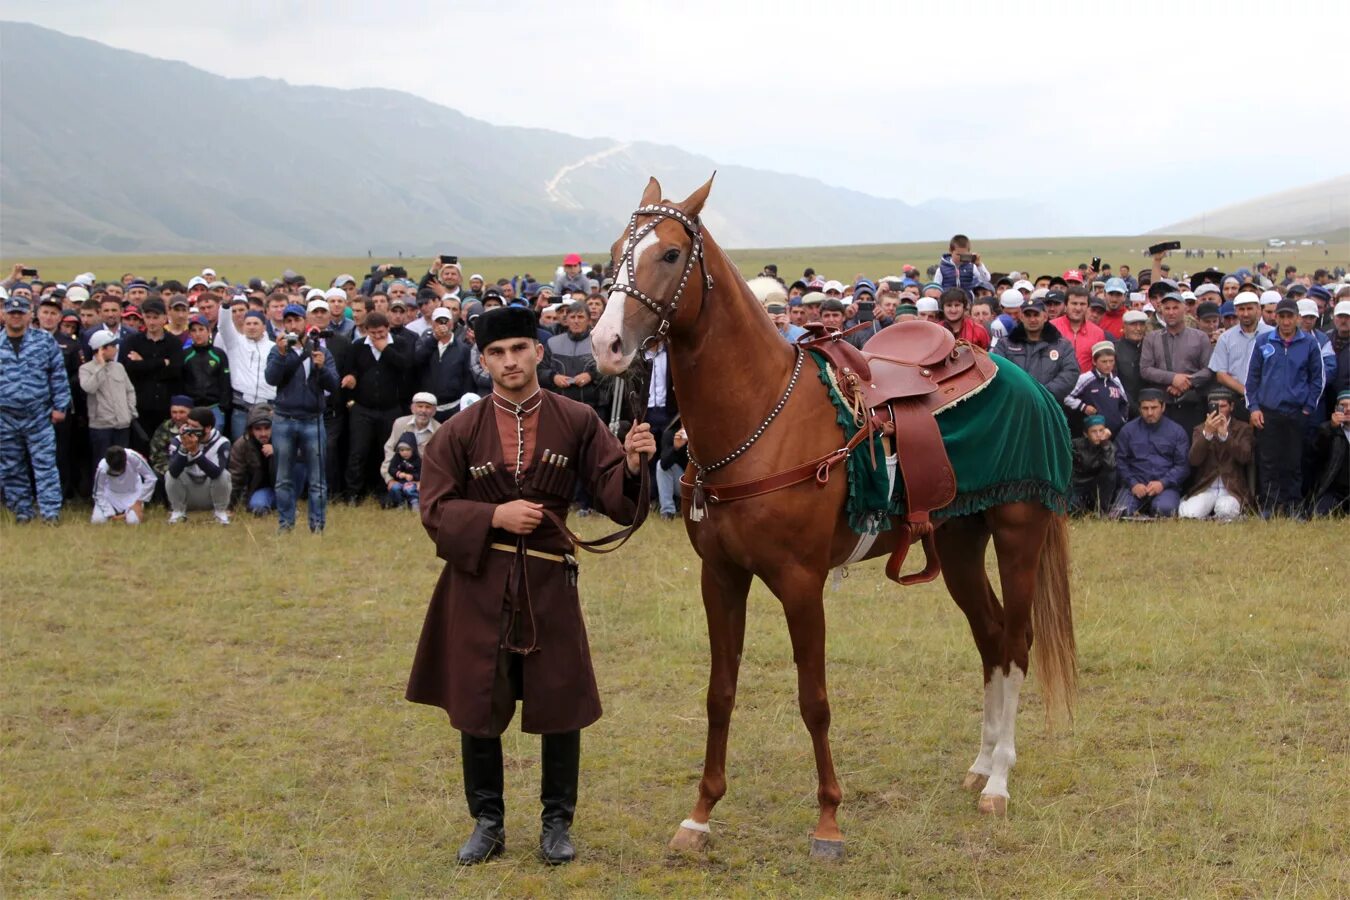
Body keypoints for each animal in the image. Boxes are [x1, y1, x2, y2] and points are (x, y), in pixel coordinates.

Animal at [594, 175, 1074, 858]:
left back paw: (1000, 782)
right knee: (988, 636)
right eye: (614, 252)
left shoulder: (801, 582)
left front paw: (828, 820)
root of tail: (1025, 383)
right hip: (959, 541)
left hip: (1017, 532)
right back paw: (981, 765)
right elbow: (720, 692)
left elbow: (814, 699)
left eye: (669, 254)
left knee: (1015, 641)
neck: (761, 418)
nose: (606, 345)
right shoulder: (720, 576)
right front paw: (700, 815)